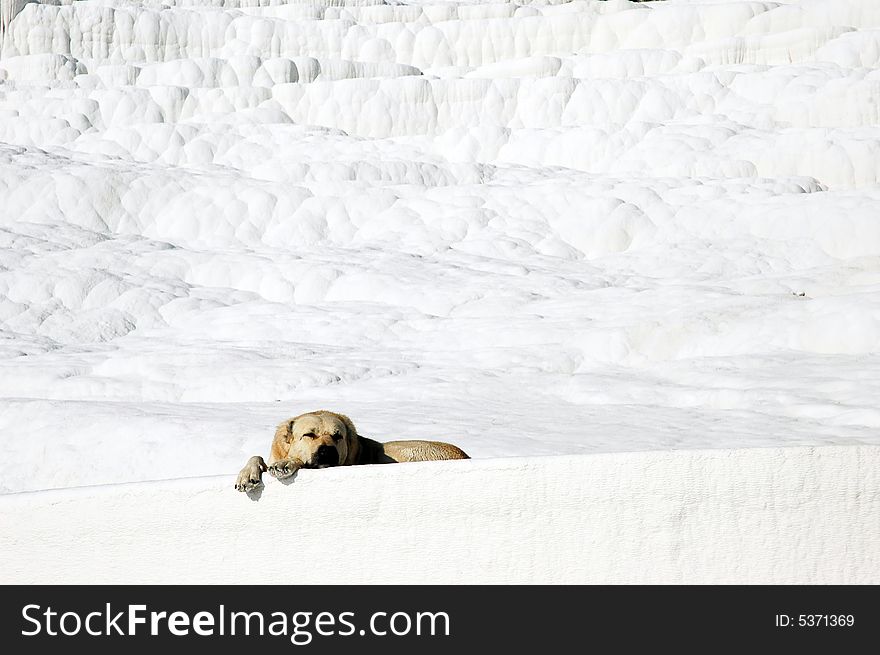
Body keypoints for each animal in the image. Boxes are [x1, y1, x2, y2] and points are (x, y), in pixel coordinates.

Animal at [234, 410, 468, 492]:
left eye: (337, 436)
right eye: (309, 434)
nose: (327, 450)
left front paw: (287, 463)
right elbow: (257, 457)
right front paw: (248, 475)